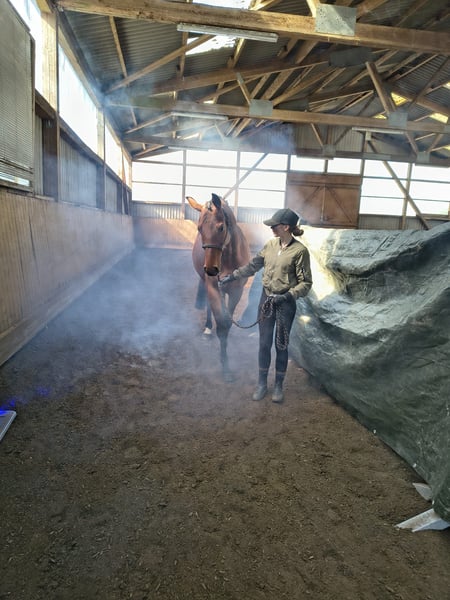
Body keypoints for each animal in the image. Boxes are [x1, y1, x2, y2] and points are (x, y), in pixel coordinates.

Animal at [187, 193, 250, 381]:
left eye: (221, 228)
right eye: (199, 229)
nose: (211, 269)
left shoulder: (236, 291)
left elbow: (227, 322)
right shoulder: (214, 288)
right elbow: (221, 325)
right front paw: (225, 366)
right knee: (209, 307)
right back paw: (208, 329)